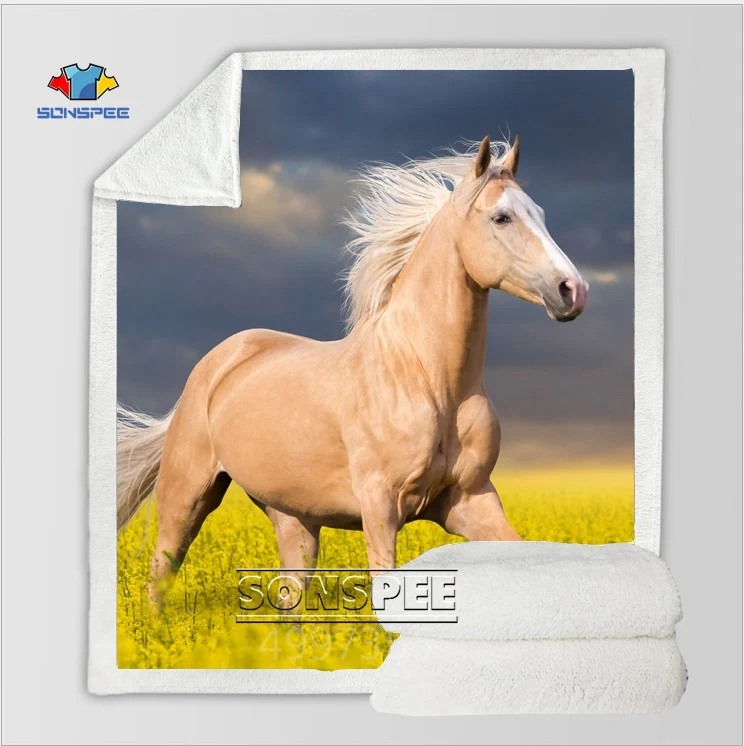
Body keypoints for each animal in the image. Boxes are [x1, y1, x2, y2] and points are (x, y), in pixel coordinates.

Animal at [117, 136, 589, 602]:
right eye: (501, 217)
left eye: (540, 213)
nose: (573, 290)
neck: (429, 381)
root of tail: (216, 365)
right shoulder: (380, 505)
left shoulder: (471, 499)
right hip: (186, 498)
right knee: (160, 575)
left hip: (293, 517)